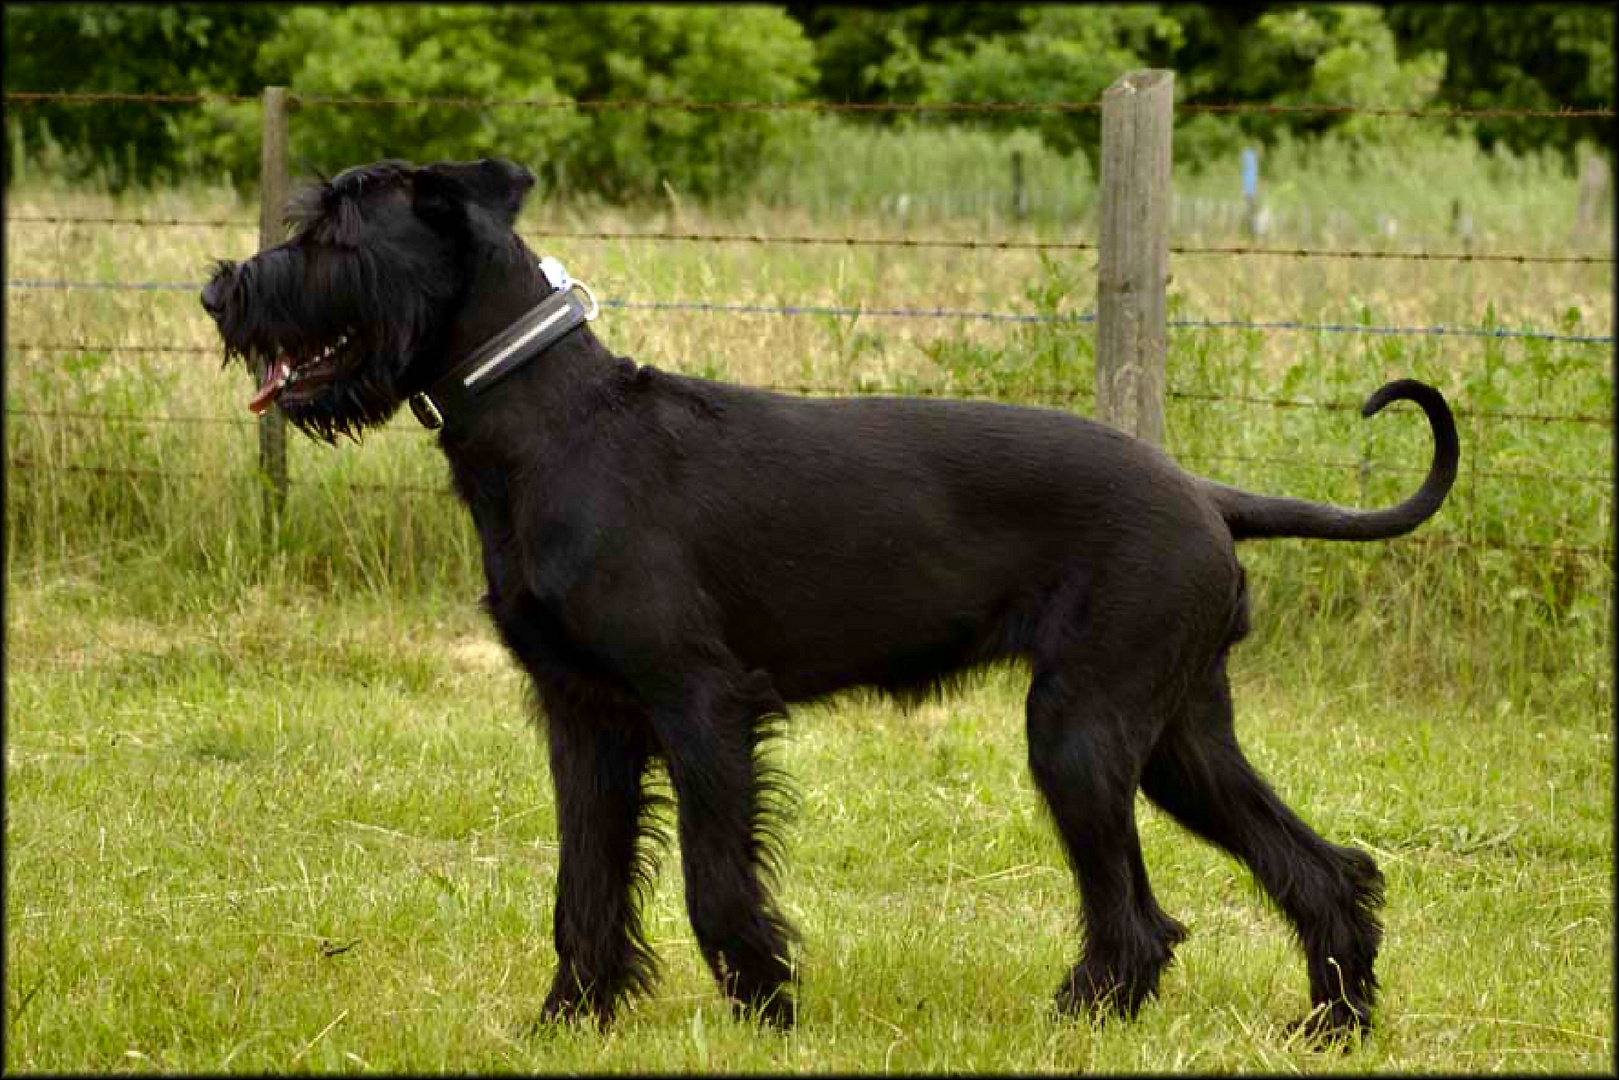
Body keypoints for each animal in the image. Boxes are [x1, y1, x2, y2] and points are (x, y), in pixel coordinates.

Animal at [199, 156, 1457, 1042]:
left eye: (332, 236)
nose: (216, 289)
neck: (552, 425)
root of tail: (1205, 493)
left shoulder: (700, 704)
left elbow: (713, 884)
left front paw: (768, 1013)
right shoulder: (582, 718)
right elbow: (584, 887)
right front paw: (568, 1022)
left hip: (1082, 733)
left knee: (1139, 920)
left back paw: (1079, 1020)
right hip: (1177, 736)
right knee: (1322, 870)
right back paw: (1330, 1026)